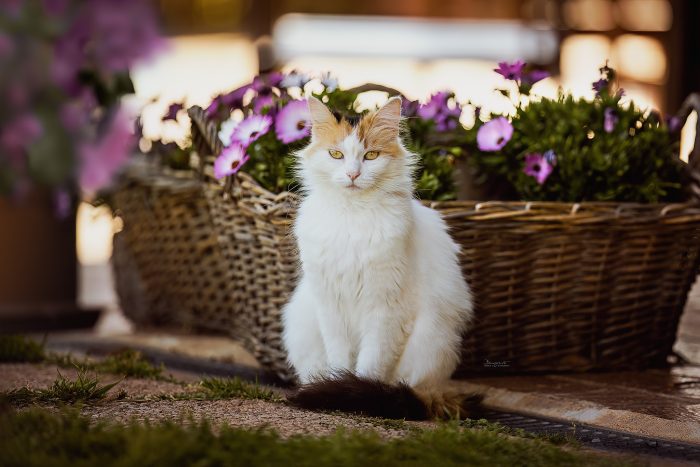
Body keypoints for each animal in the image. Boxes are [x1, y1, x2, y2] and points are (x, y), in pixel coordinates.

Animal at [282, 95, 478, 420]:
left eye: (371, 155)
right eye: (336, 154)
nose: (353, 174)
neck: (353, 217)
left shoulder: (386, 310)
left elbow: (369, 367)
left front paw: (355, 394)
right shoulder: (331, 307)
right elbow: (340, 361)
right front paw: (338, 386)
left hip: (431, 344)